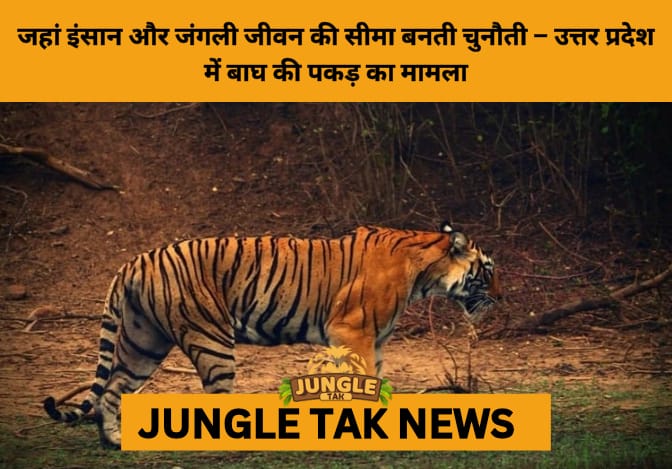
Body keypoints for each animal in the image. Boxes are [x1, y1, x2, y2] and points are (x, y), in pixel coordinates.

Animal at [44, 223, 500, 448]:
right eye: (488, 269)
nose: (500, 297)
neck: (426, 272)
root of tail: (135, 261)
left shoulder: (372, 339)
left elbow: (369, 383)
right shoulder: (352, 330)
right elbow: (364, 382)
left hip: (144, 340)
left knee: (113, 389)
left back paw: (114, 441)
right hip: (210, 338)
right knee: (214, 397)